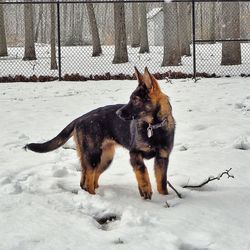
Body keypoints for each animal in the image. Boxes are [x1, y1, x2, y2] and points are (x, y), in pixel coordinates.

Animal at [24, 67, 175, 199]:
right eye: (130, 99)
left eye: (135, 100)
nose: (117, 113)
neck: (153, 127)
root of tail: (79, 118)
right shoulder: (135, 154)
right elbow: (142, 171)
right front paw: (146, 189)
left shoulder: (162, 158)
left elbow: (162, 183)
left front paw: (164, 198)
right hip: (94, 156)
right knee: (88, 181)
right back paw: (94, 197)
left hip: (105, 158)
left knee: (87, 179)